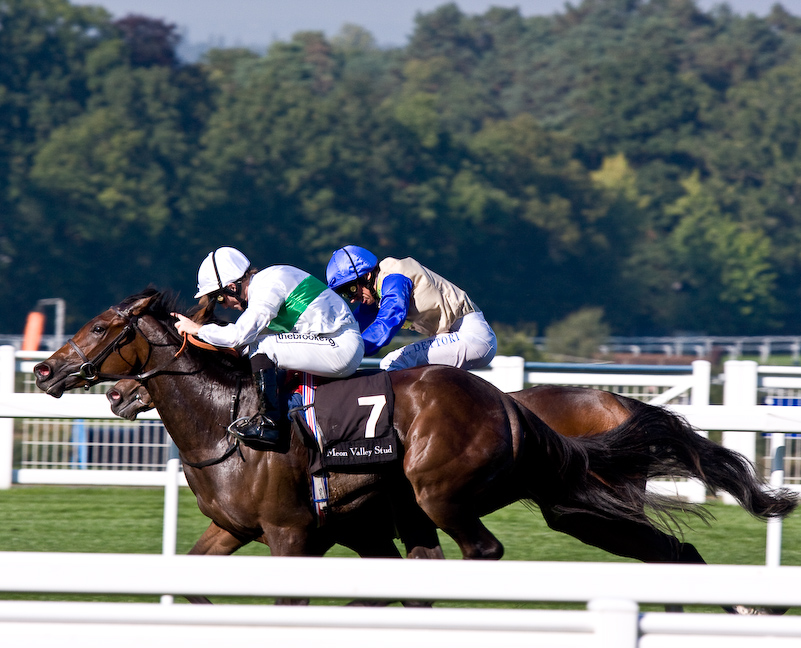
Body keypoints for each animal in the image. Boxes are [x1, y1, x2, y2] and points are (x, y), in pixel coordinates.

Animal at [34, 292, 796, 588]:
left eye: (101, 327)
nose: (44, 369)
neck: (227, 420)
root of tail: (513, 409)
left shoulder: (294, 532)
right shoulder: (257, 530)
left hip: (474, 494)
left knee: (487, 550)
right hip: (575, 506)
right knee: (671, 552)